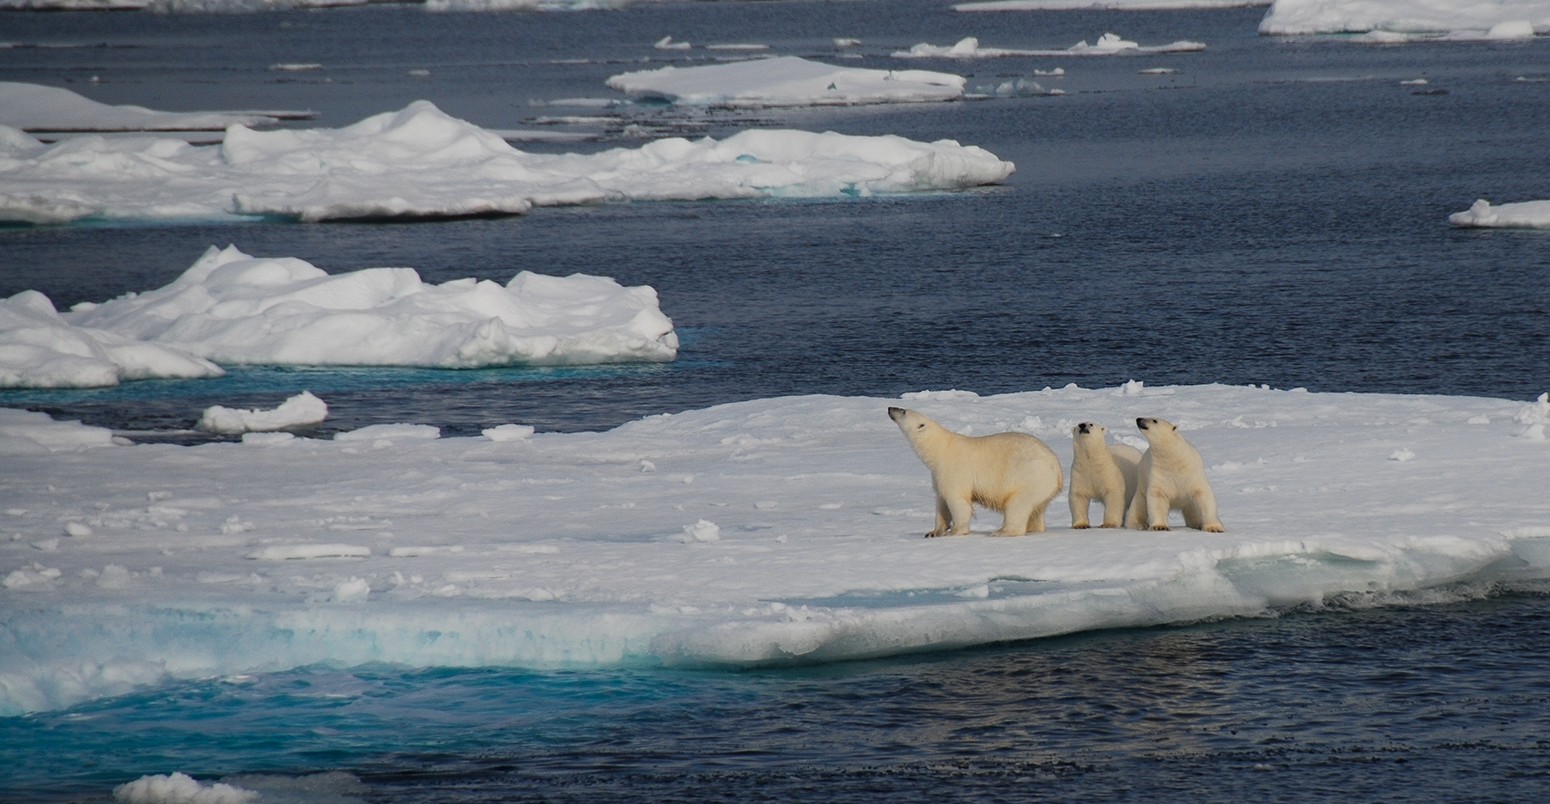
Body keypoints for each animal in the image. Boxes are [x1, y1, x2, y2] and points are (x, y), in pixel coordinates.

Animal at [886, 405, 1066, 539]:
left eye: (903, 411)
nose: (890, 408)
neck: (939, 449)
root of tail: (1057, 468)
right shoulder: (937, 475)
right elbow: (941, 502)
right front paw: (933, 532)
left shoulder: (953, 470)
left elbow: (958, 502)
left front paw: (955, 531)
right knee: (1037, 509)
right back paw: (1033, 528)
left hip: (1031, 477)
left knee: (1018, 505)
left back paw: (1001, 531)